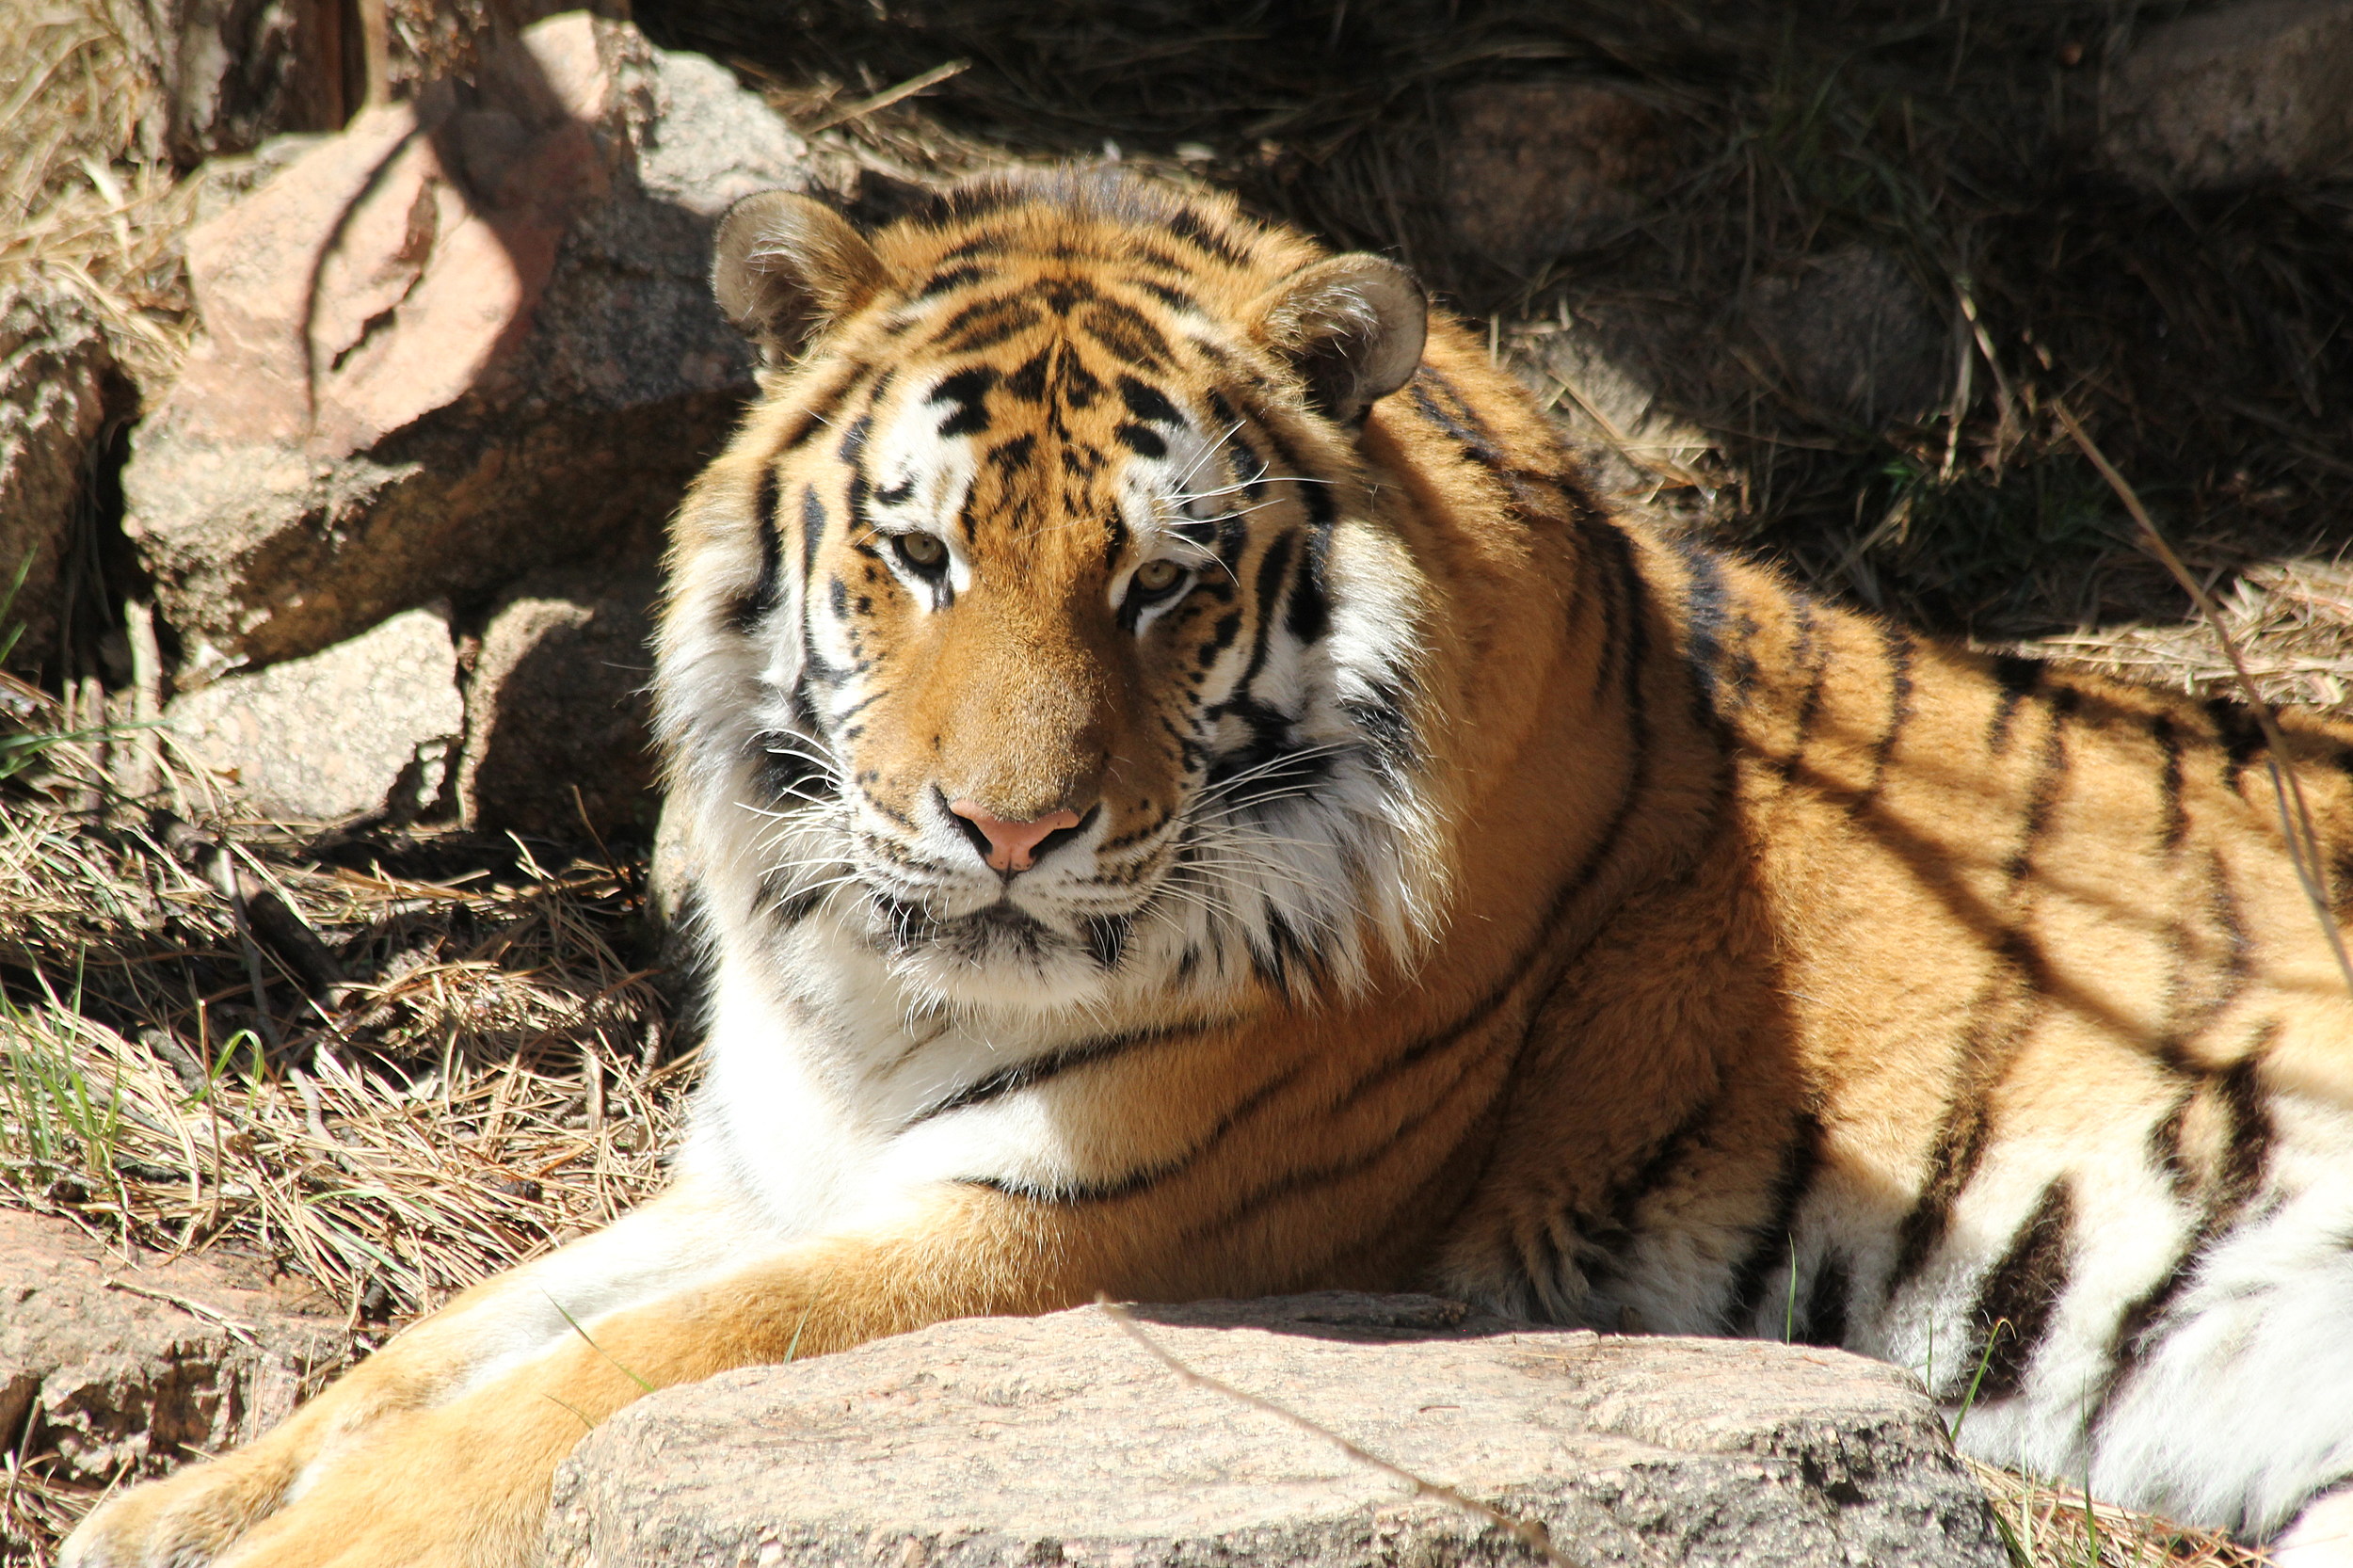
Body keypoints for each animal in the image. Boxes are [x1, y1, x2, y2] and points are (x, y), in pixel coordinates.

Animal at [55, 168, 2353, 1562]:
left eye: (1159, 585)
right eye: (918, 554)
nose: (1006, 828)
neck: (873, 991)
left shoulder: (1075, 1226)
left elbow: (609, 1379)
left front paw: (311, 1537)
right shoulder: (762, 1168)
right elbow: (447, 1337)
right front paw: (167, 1510)